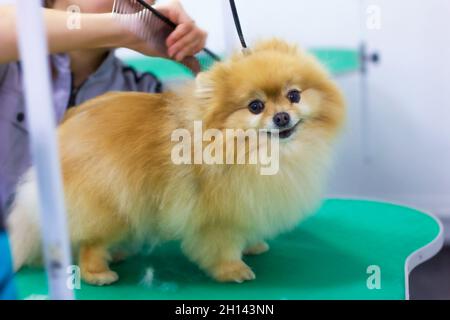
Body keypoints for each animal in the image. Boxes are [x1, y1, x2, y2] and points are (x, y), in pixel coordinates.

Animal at [7, 38, 344, 286]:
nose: (282, 116)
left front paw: (253, 245)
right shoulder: (217, 219)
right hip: (107, 205)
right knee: (90, 243)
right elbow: (221, 246)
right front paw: (233, 270)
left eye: (294, 96)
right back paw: (99, 273)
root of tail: (62, 133)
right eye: (255, 106)